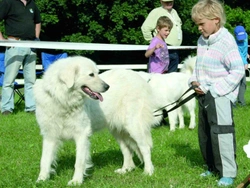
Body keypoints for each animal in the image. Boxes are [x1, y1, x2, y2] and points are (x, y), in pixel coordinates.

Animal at [34, 55, 160, 185]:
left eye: (97, 73)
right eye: (91, 74)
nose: (107, 87)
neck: (63, 101)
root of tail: (139, 78)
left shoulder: (82, 134)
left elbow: (79, 162)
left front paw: (76, 181)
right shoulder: (49, 136)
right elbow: (44, 160)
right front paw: (41, 180)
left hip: (133, 126)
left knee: (145, 147)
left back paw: (148, 171)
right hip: (118, 131)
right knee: (127, 150)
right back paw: (125, 169)